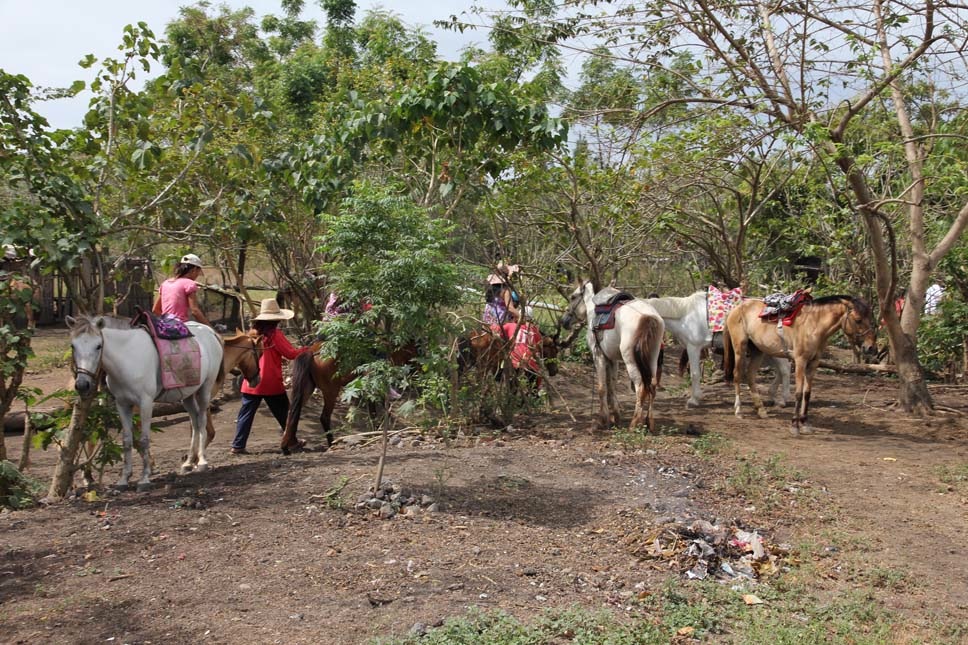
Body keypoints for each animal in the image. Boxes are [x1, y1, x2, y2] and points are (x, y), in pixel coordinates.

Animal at [67, 314, 224, 490]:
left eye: (98, 346)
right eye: (73, 346)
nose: (82, 384)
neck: (127, 359)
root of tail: (210, 331)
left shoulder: (145, 403)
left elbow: (144, 439)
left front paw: (144, 478)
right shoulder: (122, 404)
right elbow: (127, 440)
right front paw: (124, 479)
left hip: (204, 390)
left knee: (202, 421)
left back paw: (202, 461)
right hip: (187, 395)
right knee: (195, 422)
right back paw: (189, 462)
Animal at [560, 280, 664, 430]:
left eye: (573, 297)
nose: (564, 321)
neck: (593, 311)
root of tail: (647, 316)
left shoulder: (598, 356)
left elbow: (602, 388)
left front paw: (603, 420)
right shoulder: (613, 360)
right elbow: (612, 388)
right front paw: (616, 417)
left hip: (630, 361)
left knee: (641, 388)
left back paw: (634, 424)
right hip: (653, 358)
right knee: (653, 386)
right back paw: (649, 422)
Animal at [724, 294, 880, 436]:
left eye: (870, 319)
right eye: (858, 320)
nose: (871, 347)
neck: (813, 326)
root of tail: (736, 308)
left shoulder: (813, 363)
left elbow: (807, 393)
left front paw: (804, 423)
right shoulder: (800, 361)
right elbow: (798, 394)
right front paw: (794, 425)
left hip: (758, 351)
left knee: (750, 376)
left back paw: (761, 411)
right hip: (740, 348)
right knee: (737, 375)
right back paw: (738, 410)